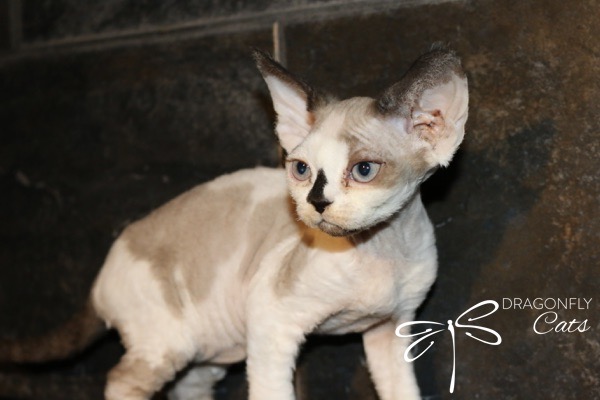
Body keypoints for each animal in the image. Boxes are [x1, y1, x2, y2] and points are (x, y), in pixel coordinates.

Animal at [0, 46, 468, 400]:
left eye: (364, 170)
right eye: (301, 169)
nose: (316, 203)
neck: (378, 250)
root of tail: (101, 277)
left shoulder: (389, 328)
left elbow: (401, 391)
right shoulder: (273, 321)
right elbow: (272, 392)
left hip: (209, 350)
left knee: (185, 387)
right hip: (170, 341)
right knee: (121, 381)